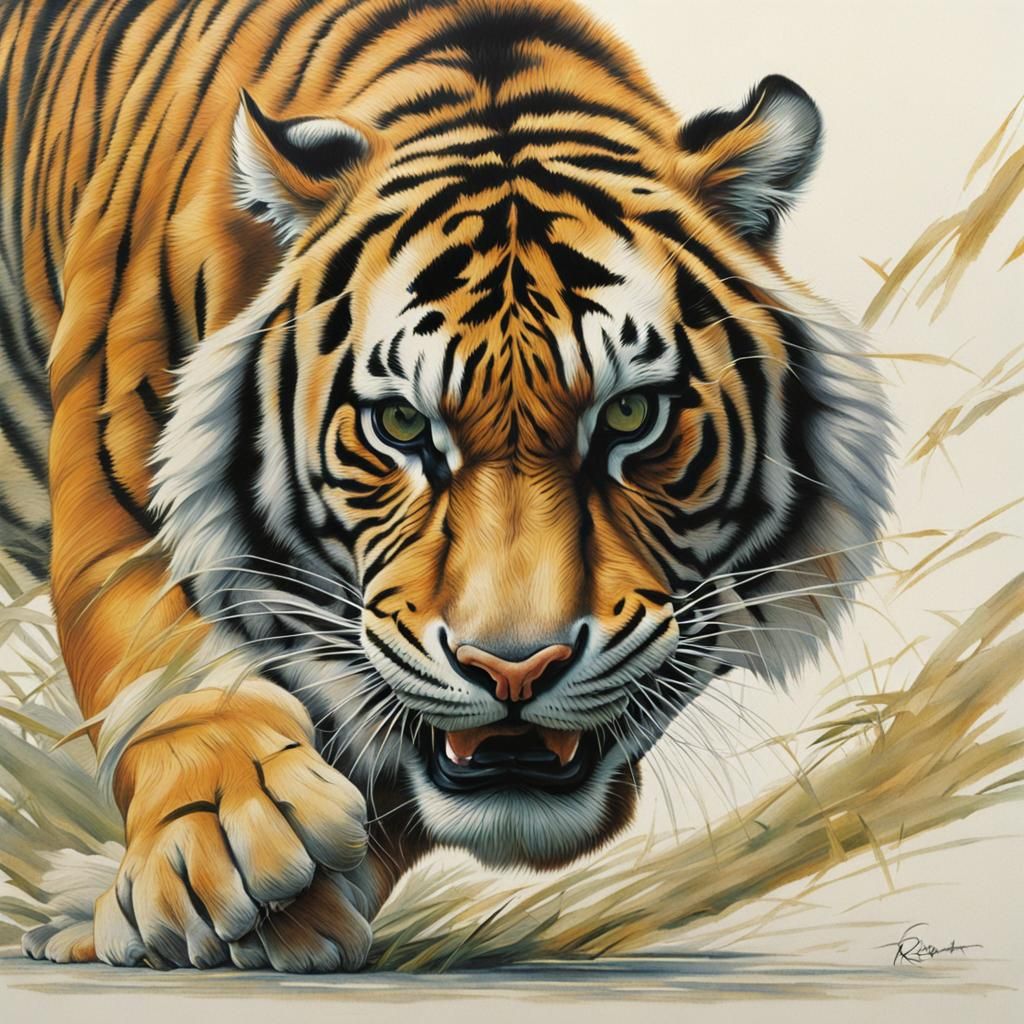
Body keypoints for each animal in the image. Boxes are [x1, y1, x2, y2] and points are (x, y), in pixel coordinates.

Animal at [1, 0, 892, 973]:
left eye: (629, 416)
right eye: (400, 425)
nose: (514, 669)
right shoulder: (117, 501)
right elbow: (162, 672)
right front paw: (226, 839)